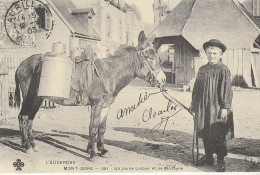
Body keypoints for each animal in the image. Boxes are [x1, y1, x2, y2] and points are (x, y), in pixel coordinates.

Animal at [14, 31, 166, 159]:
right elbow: (93, 127)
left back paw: (33, 145)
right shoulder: (96, 104)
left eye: (157, 57)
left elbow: (101, 128)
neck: (109, 74)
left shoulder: (106, 106)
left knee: (30, 119)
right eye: (149, 57)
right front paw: (92, 153)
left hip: (38, 99)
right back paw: (27, 147)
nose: (163, 79)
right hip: (30, 97)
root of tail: (21, 65)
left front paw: (102, 150)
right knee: (23, 117)